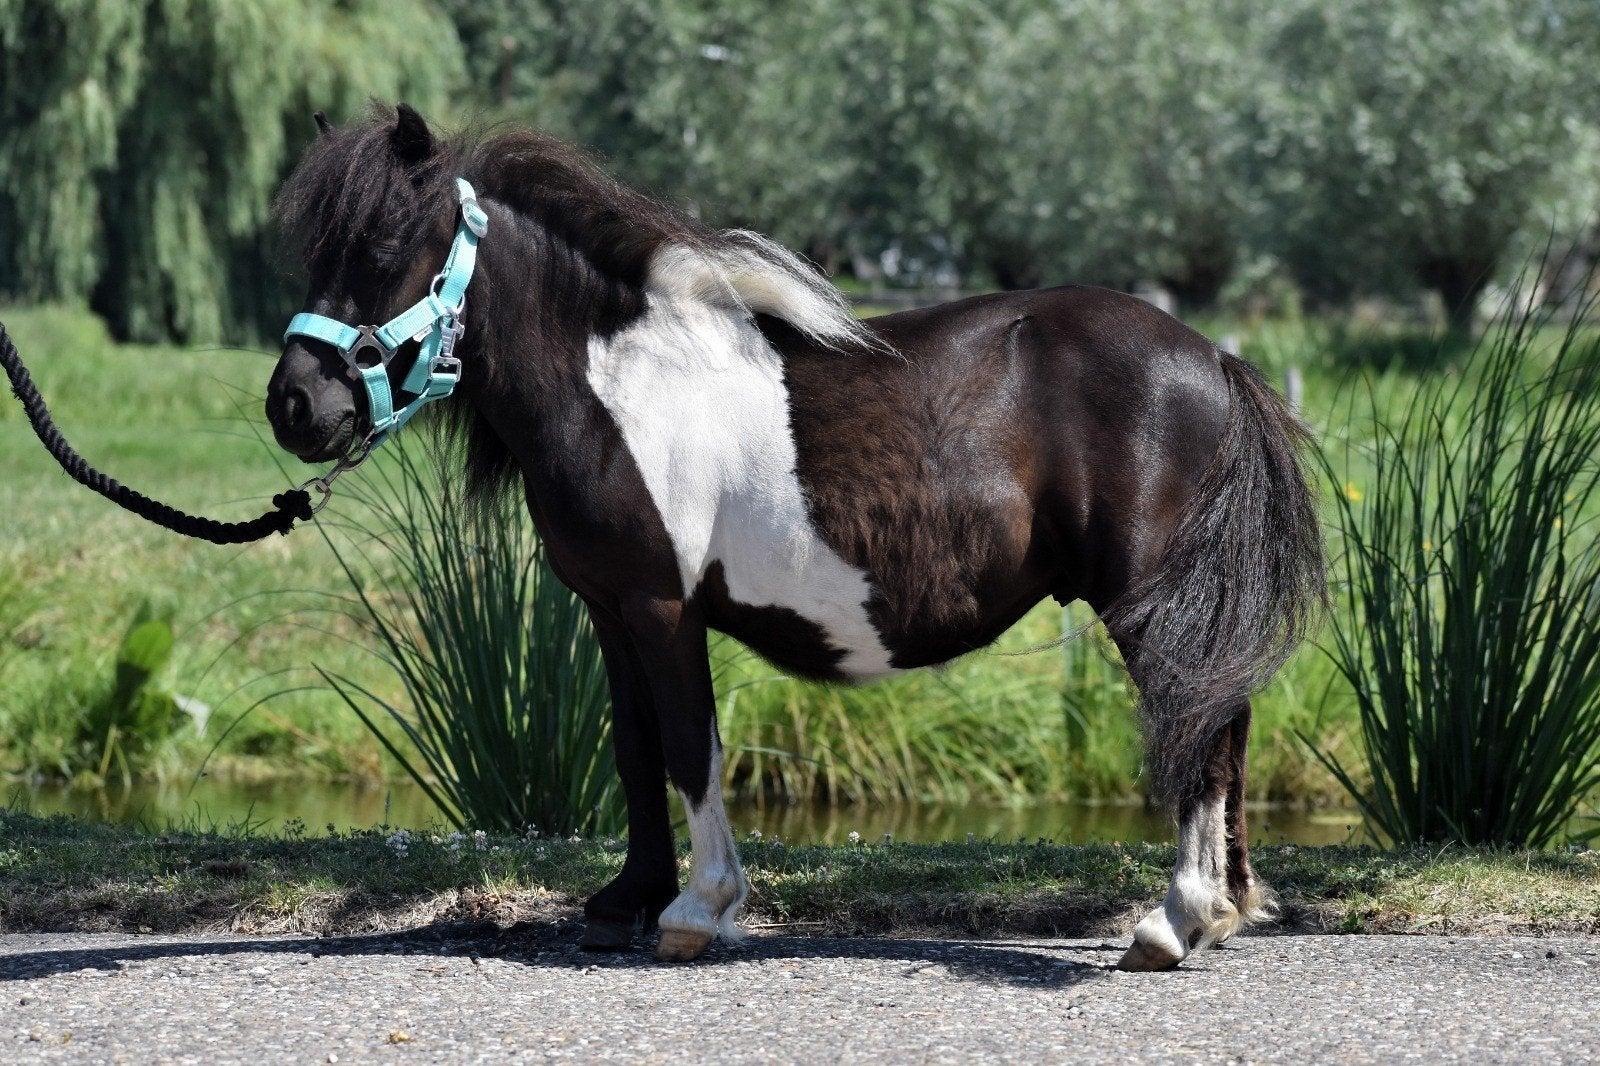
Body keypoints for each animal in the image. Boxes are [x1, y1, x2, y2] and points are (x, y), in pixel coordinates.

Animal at [266, 104, 1324, 971]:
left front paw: (698, 909)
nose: (295, 406)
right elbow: (635, 750)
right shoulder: (609, 608)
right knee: (1223, 720)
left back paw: (1175, 922)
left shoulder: (661, 606)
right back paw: (1225, 910)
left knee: (1202, 731)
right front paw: (625, 903)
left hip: (1151, 601)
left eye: (385, 242)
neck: (617, 384)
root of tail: (1210, 357)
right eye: (315, 252)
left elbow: (689, 745)